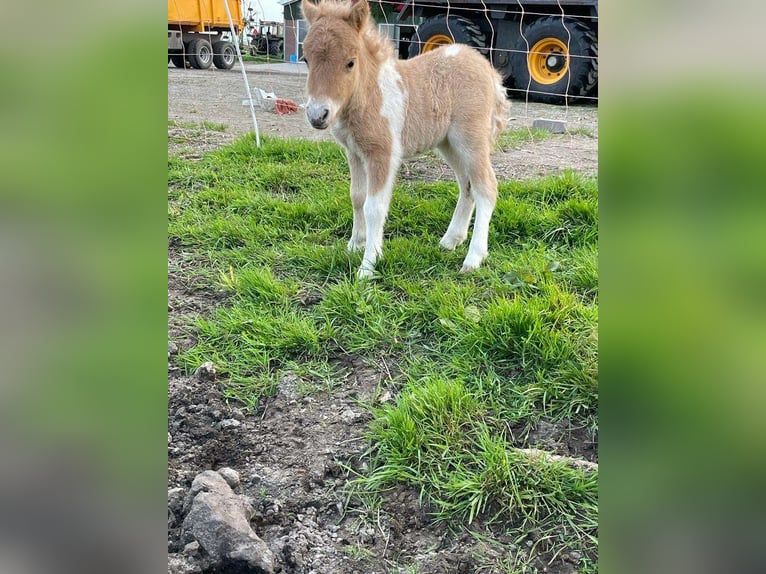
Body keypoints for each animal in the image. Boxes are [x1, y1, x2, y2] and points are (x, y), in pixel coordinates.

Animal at [302, 0, 510, 280]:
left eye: (350, 62)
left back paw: (473, 258)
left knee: (486, 187)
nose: (318, 115)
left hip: (471, 140)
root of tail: (487, 69)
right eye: (306, 60)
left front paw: (368, 265)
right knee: (467, 186)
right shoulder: (354, 153)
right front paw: (354, 245)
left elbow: (374, 206)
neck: (369, 94)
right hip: (449, 144)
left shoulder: (382, 153)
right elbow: (356, 197)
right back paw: (450, 240)